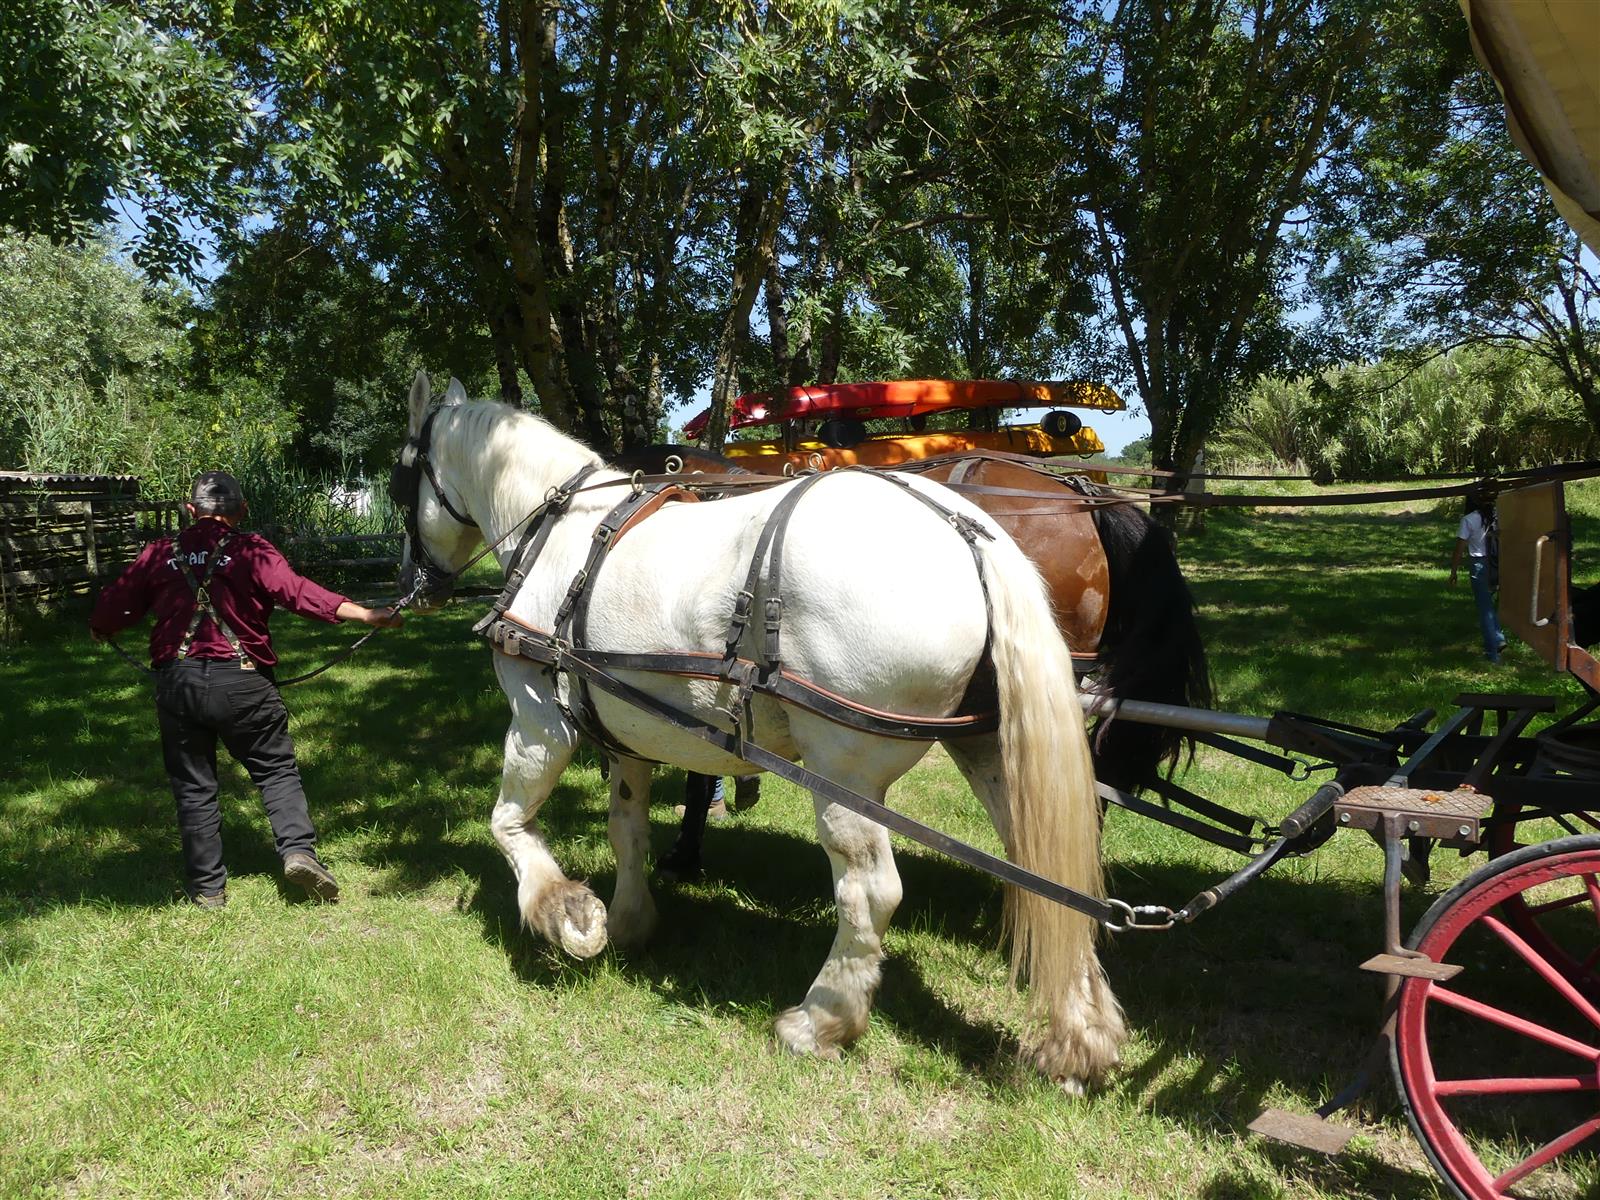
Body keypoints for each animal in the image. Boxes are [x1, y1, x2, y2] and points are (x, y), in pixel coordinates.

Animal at [394, 375, 1125, 1089]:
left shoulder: (539, 717)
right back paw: (1079, 1041)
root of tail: (967, 529)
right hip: (988, 748)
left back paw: (822, 1020)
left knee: (871, 892)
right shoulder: (630, 731)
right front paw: (630, 921)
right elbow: (626, 829)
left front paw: (566, 913)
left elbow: (507, 822)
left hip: (844, 771)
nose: (416, 586)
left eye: (401, 480)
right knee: (1050, 873)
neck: (559, 534)